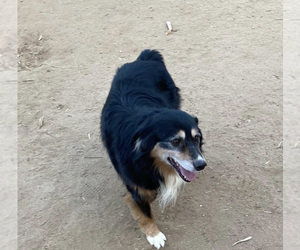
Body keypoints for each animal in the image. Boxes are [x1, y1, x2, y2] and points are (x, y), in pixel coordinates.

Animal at [101, 49, 206, 249]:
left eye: (197, 138)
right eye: (175, 141)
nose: (201, 165)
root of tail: (146, 56)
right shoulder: (136, 180)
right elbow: (144, 209)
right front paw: (154, 234)